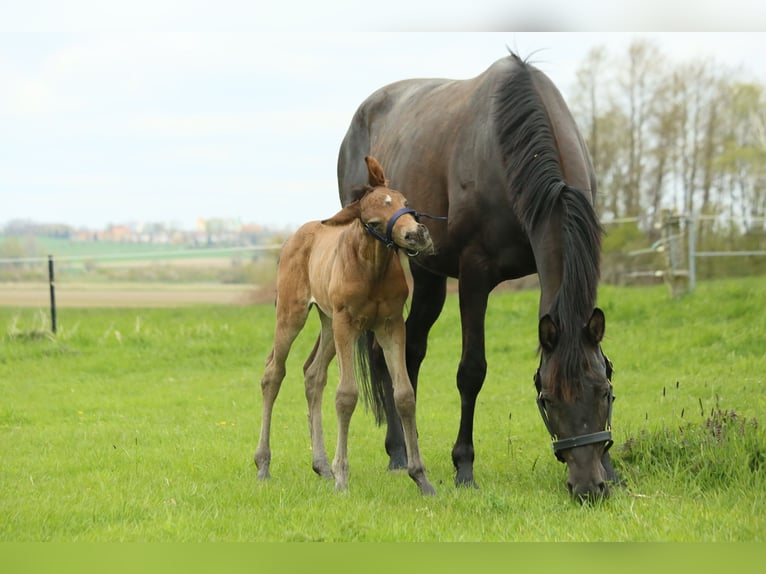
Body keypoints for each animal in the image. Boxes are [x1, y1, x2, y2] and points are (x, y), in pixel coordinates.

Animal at [256, 156, 436, 496]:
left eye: (405, 202)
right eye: (373, 220)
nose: (416, 235)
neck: (372, 269)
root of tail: (294, 238)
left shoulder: (391, 325)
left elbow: (405, 395)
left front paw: (421, 478)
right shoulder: (347, 323)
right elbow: (346, 395)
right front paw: (342, 478)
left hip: (328, 323)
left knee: (313, 375)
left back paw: (321, 466)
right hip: (294, 315)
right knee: (273, 373)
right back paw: (264, 465)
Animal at [340, 55, 620, 504]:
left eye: (605, 393)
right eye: (548, 399)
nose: (587, 487)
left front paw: (612, 469)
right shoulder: (474, 275)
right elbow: (472, 371)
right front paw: (464, 467)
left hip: (429, 275)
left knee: (410, 350)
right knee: (387, 353)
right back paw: (398, 453)